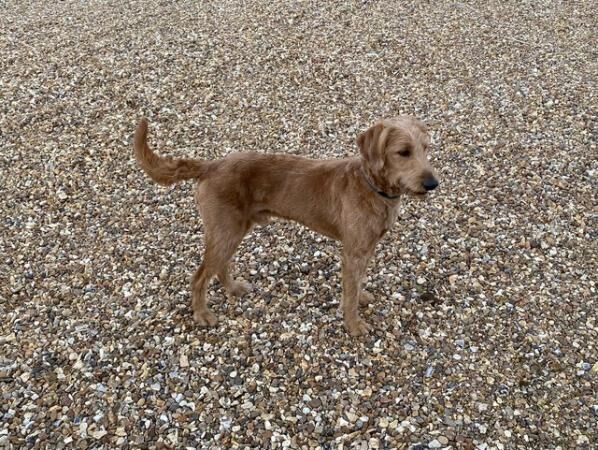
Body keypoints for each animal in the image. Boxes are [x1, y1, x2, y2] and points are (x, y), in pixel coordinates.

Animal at [134, 118, 438, 336]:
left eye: (426, 149)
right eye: (403, 152)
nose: (432, 183)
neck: (371, 185)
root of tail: (211, 165)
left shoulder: (365, 248)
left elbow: (357, 282)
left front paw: (361, 297)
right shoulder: (353, 251)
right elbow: (349, 291)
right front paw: (353, 325)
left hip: (232, 229)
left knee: (220, 265)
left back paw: (232, 288)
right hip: (225, 229)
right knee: (199, 277)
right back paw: (202, 314)